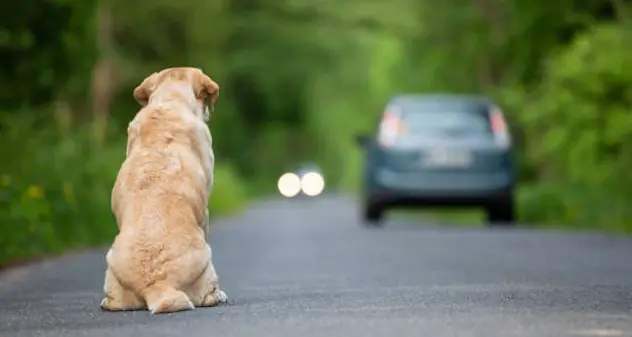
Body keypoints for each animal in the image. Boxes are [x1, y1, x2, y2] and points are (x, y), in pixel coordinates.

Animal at [99, 67, 227, 314]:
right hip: (206, 258)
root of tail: (157, 284)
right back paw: (218, 296)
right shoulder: (205, 211)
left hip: (111, 264)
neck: (169, 102)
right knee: (207, 293)